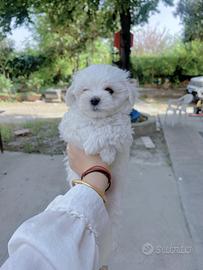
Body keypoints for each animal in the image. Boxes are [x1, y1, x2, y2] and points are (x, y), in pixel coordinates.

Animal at [59, 63, 138, 258]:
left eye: (109, 90)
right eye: (85, 90)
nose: (94, 99)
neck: (99, 119)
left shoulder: (124, 132)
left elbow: (111, 130)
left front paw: (105, 151)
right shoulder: (70, 127)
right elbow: (84, 127)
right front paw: (93, 145)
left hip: (115, 208)